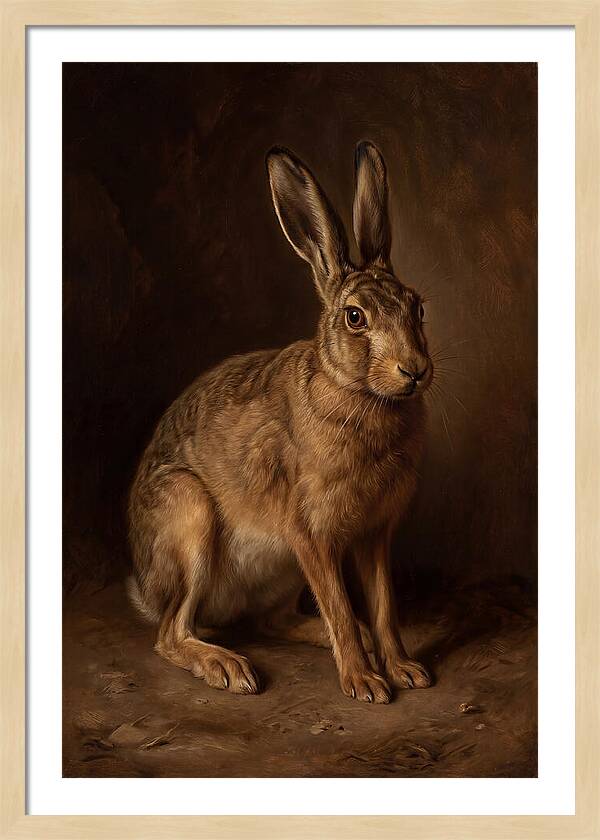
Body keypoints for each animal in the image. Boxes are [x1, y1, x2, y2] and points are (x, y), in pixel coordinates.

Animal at [127, 141, 433, 703]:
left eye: (417, 307)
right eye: (355, 317)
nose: (415, 370)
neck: (360, 393)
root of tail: (145, 585)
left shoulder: (374, 535)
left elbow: (383, 608)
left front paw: (403, 669)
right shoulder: (309, 533)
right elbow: (340, 605)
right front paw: (365, 684)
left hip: (281, 572)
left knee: (273, 622)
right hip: (189, 516)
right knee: (171, 633)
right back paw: (228, 667)